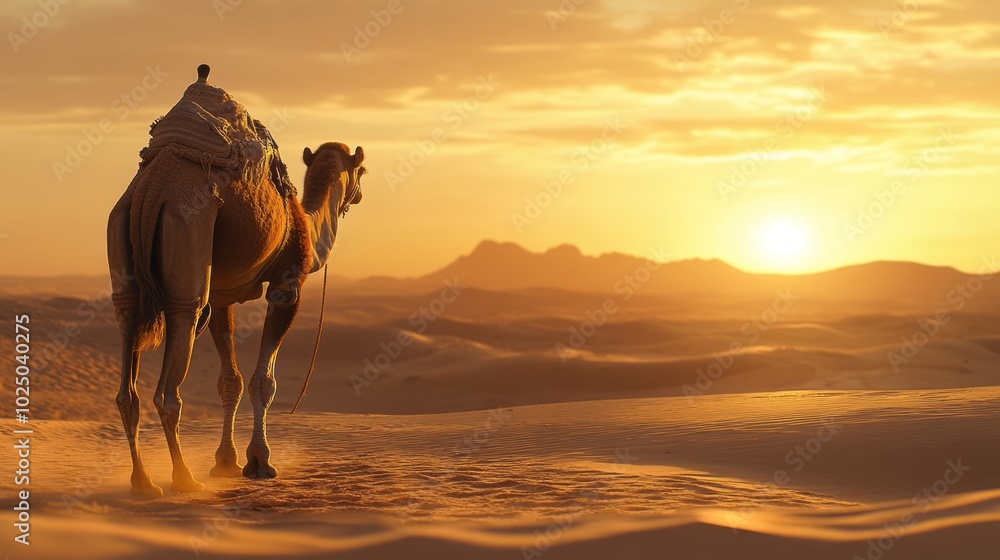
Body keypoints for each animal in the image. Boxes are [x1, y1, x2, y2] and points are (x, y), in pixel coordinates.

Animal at [107, 66, 365, 497]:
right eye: (362, 168)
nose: (357, 196)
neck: (306, 223)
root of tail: (152, 190)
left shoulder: (225, 295)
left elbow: (231, 379)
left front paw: (226, 462)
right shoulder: (286, 286)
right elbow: (263, 380)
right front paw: (259, 461)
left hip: (121, 239)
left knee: (127, 364)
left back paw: (142, 480)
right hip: (186, 230)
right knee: (174, 363)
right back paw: (183, 478)